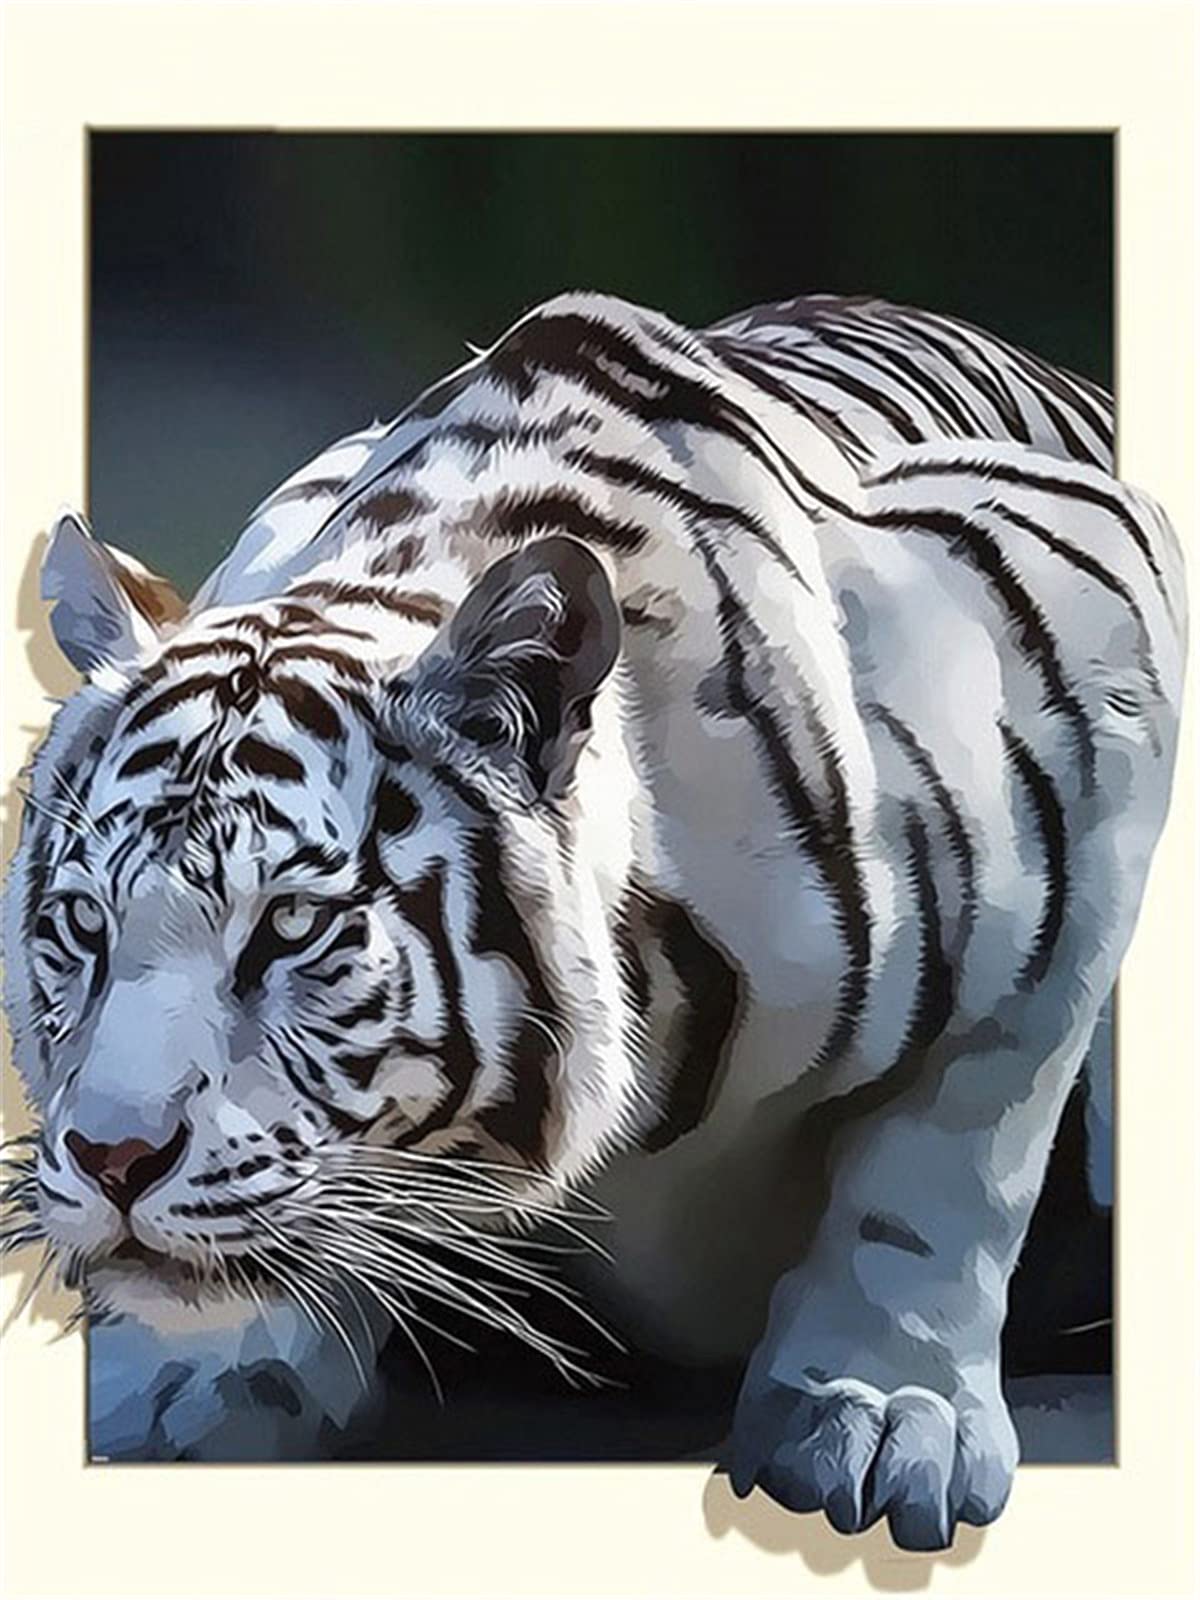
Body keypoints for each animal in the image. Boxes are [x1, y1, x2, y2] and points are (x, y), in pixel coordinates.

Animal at [1, 290, 1185, 1547]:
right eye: (83, 924)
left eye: (290, 927)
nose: (112, 1160)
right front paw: (198, 1364)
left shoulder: (1100, 644)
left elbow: (956, 1147)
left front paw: (877, 1410)